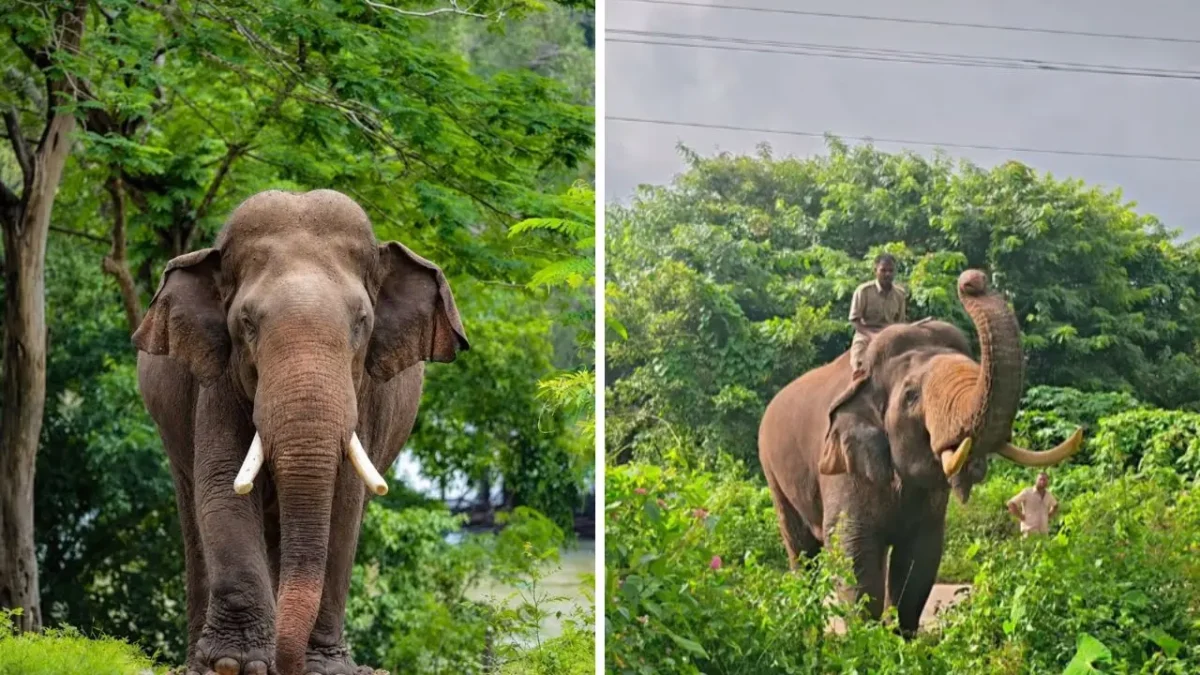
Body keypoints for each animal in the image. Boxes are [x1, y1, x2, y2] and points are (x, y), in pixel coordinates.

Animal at [132, 189, 468, 675]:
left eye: (361, 322)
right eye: (247, 324)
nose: (283, 663)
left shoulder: (365, 394)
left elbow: (343, 505)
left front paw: (322, 668)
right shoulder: (216, 379)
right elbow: (223, 487)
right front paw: (238, 666)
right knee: (193, 513)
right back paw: (199, 664)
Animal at [757, 269, 1082, 636]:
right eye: (911, 395)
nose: (973, 280)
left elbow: (920, 557)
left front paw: (899, 639)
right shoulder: (844, 467)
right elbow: (853, 550)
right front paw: (867, 641)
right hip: (772, 469)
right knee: (801, 549)